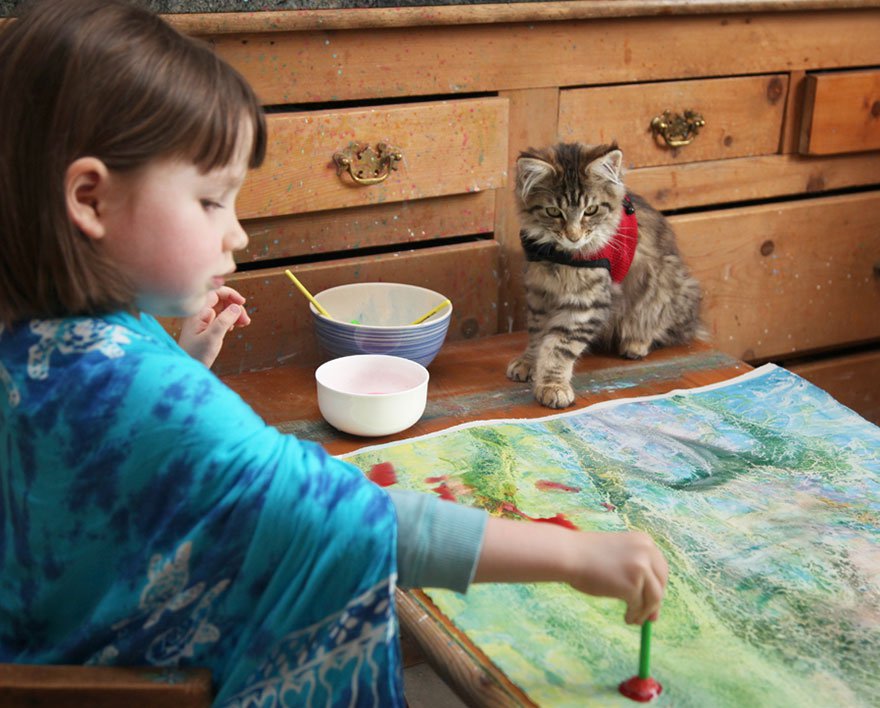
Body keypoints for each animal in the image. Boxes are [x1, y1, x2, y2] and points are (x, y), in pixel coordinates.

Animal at [508, 142, 700, 410]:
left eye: (591, 210)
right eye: (553, 211)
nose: (574, 236)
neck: (560, 258)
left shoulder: (587, 302)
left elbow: (559, 346)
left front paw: (552, 386)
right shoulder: (539, 293)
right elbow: (538, 336)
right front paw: (528, 362)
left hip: (666, 287)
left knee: (670, 329)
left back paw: (637, 343)